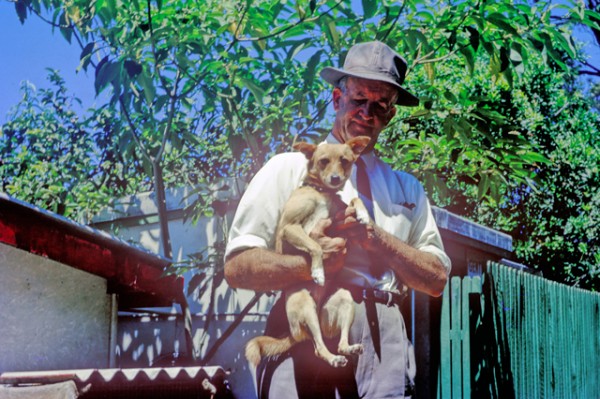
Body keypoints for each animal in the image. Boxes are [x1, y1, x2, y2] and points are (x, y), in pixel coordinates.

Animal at [244, 137, 370, 368]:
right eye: (323, 161)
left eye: (345, 161)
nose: (335, 178)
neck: (321, 192)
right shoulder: (290, 227)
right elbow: (316, 246)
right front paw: (318, 272)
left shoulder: (339, 214)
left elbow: (355, 200)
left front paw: (364, 214)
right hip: (305, 307)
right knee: (319, 348)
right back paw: (333, 358)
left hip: (344, 300)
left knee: (339, 343)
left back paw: (348, 349)